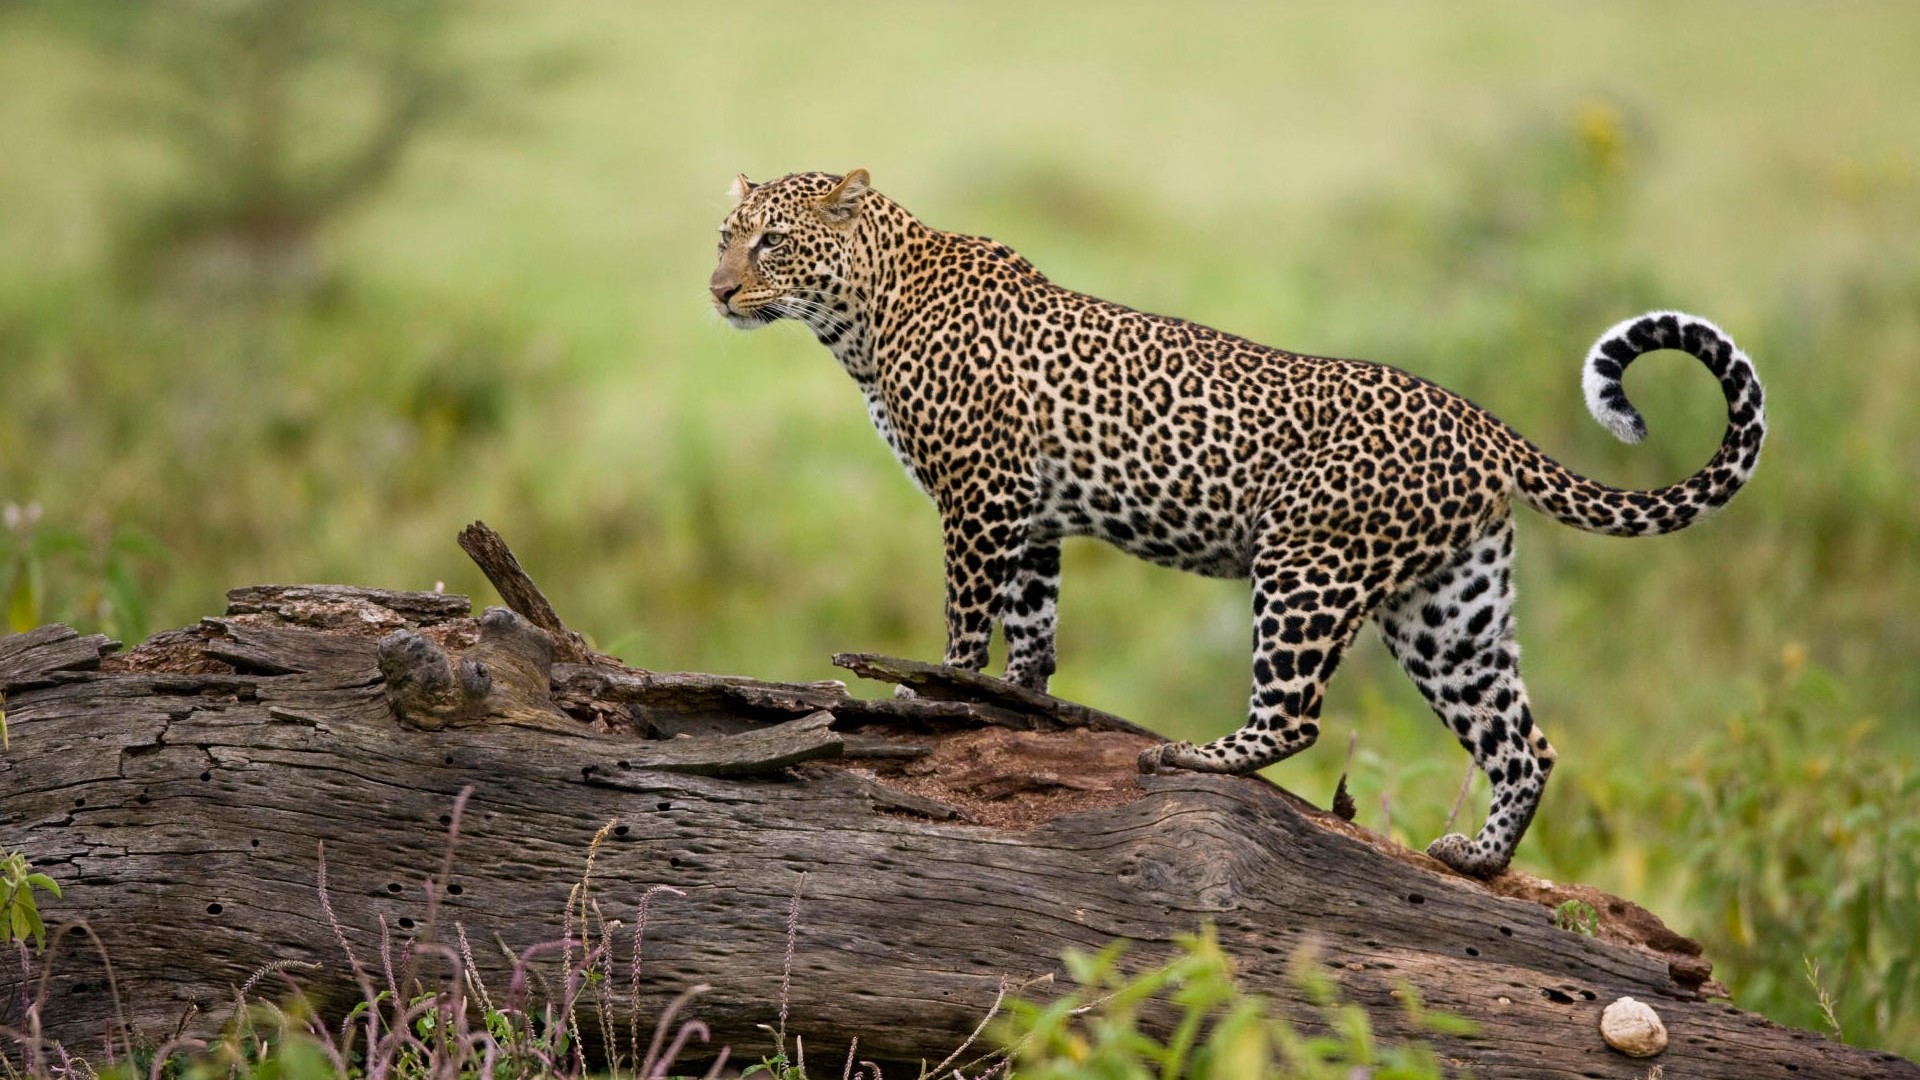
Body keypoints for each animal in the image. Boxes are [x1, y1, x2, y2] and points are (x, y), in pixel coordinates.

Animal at [707, 169, 1766, 877]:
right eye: (724, 235)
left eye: (771, 244)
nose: (718, 291)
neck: (860, 316)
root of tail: (1482, 423)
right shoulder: (1032, 516)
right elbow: (1034, 629)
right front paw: (1017, 704)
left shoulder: (979, 497)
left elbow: (967, 622)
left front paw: (927, 701)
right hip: (1448, 610)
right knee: (1522, 743)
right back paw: (1479, 859)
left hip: (1306, 565)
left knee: (1296, 716)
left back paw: (1194, 753)